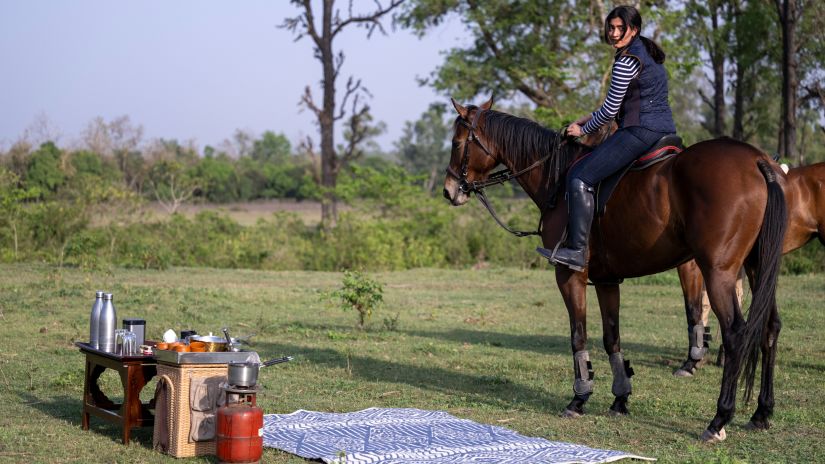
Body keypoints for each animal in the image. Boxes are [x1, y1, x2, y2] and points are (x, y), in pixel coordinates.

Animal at [444, 99, 784, 442]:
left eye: (457, 143)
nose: (449, 190)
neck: (558, 179)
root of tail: (757, 161)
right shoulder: (607, 280)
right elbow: (612, 338)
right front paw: (620, 398)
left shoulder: (570, 276)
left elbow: (578, 336)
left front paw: (579, 398)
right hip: (757, 270)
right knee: (769, 327)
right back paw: (762, 412)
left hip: (718, 272)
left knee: (736, 334)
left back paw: (719, 419)